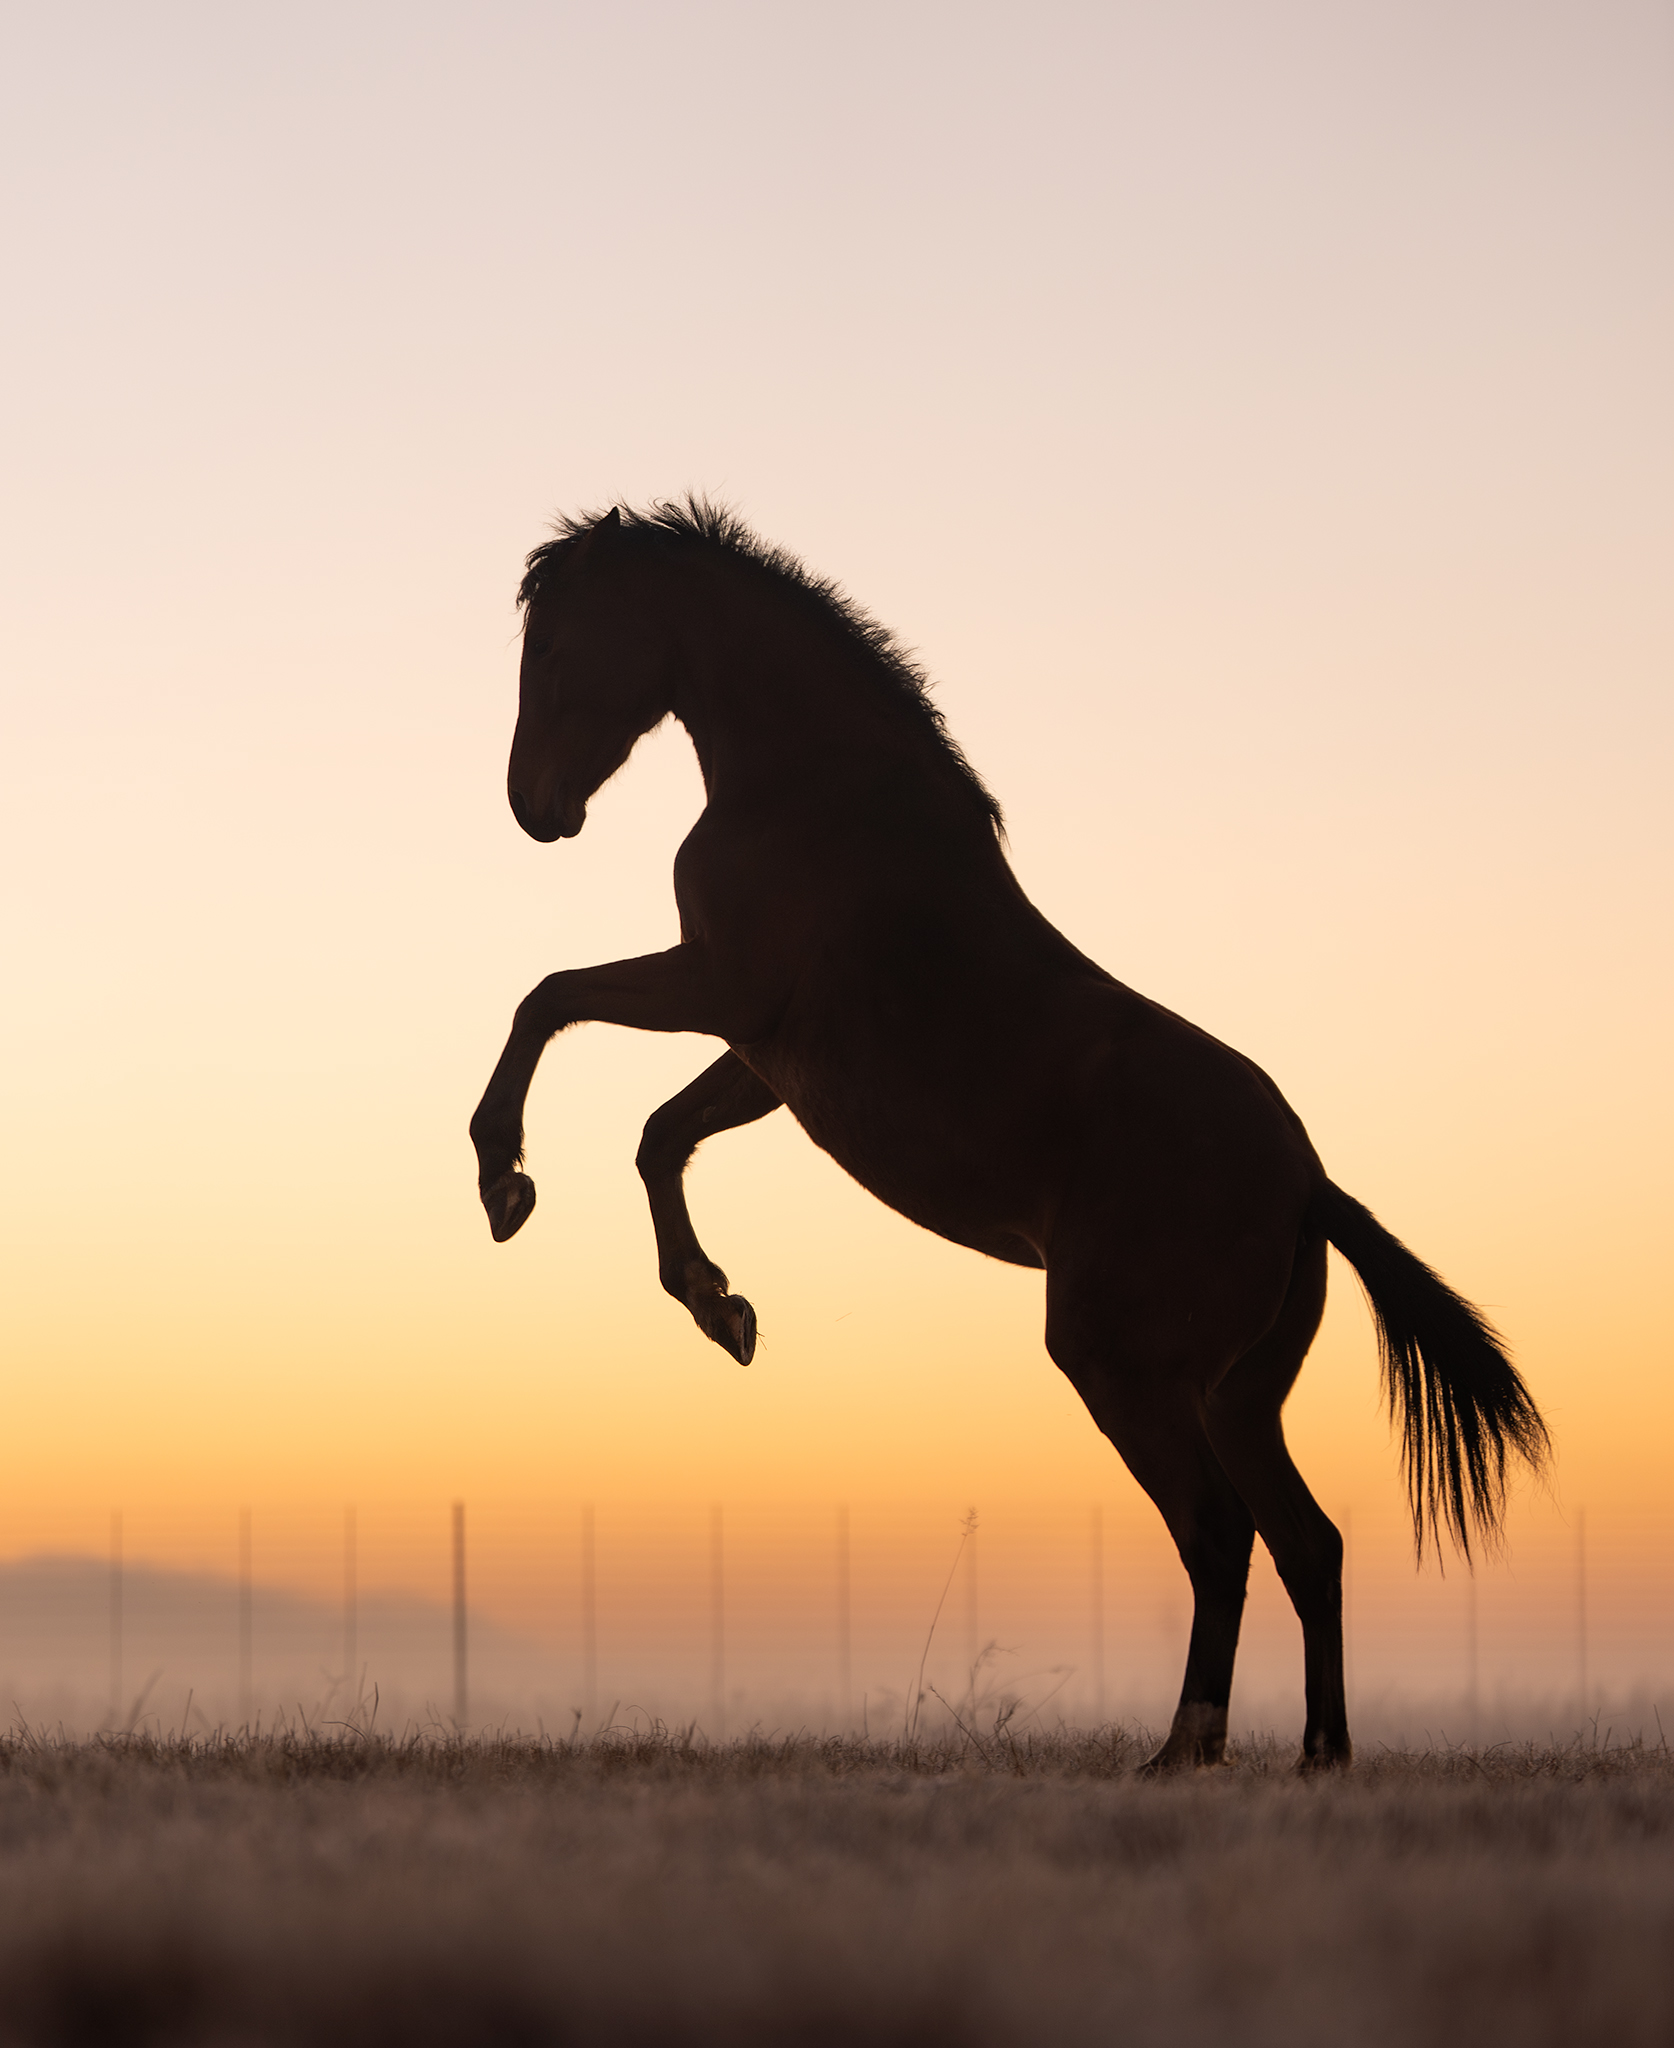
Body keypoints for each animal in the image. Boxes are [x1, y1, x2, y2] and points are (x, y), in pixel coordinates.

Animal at [469, 497, 1548, 1770]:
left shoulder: (718, 989)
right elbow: (656, 1131)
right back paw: (1316, 1753)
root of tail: (1305, 1183)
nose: (535, 807)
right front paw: (721, 1307)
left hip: (1122, 1366)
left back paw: (1184, 1746)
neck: (815, 792)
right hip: (1238, 1394)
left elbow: (548, 1000)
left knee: (1219, 1532)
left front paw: (504, 1183)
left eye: (557, 645)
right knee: (1307, 1539)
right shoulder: (766, 1057)